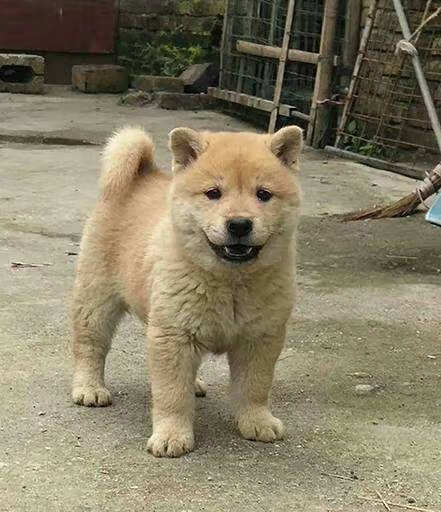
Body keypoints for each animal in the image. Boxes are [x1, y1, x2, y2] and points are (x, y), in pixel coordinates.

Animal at [71, 123, 302, 456]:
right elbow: (172, 394)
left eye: (263, 194)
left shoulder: (261, 337)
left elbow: (255, 386)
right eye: (213, 193)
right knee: (90, 345)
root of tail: (141, 174)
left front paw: (257, 421)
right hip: (96, 300)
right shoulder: (173, 337)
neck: (231, 282)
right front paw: (171, 435)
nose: (239, 224)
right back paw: (89, 388)